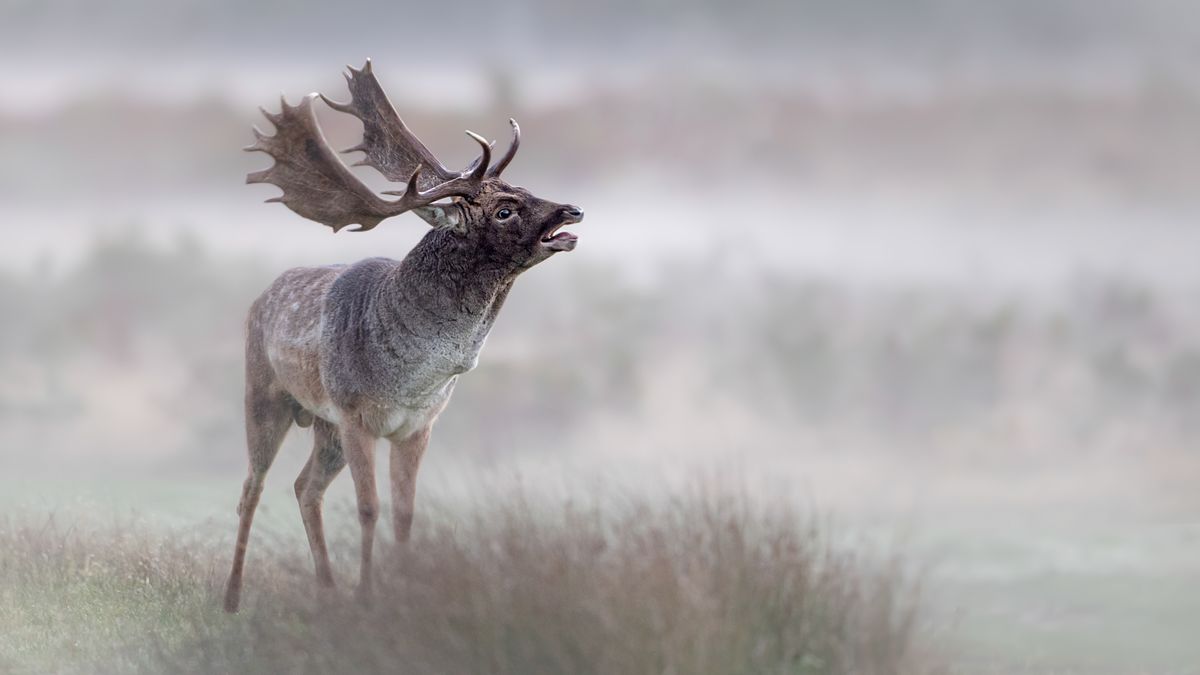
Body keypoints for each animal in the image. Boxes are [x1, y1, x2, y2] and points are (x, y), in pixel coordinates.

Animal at [224, 61, 585, 610]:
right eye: (504, 210)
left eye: (523, 188)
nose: (571, 211)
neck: (413, 377)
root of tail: (259, 298)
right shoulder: (355, 415)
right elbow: (369, 508)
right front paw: (367, 595)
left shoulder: (418, 425)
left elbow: (404, 513)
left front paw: (400, 593)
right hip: (265, 394)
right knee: (252, 487)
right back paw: (231, 597)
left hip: (323, 425)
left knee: (305, 487)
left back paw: (326, 587)